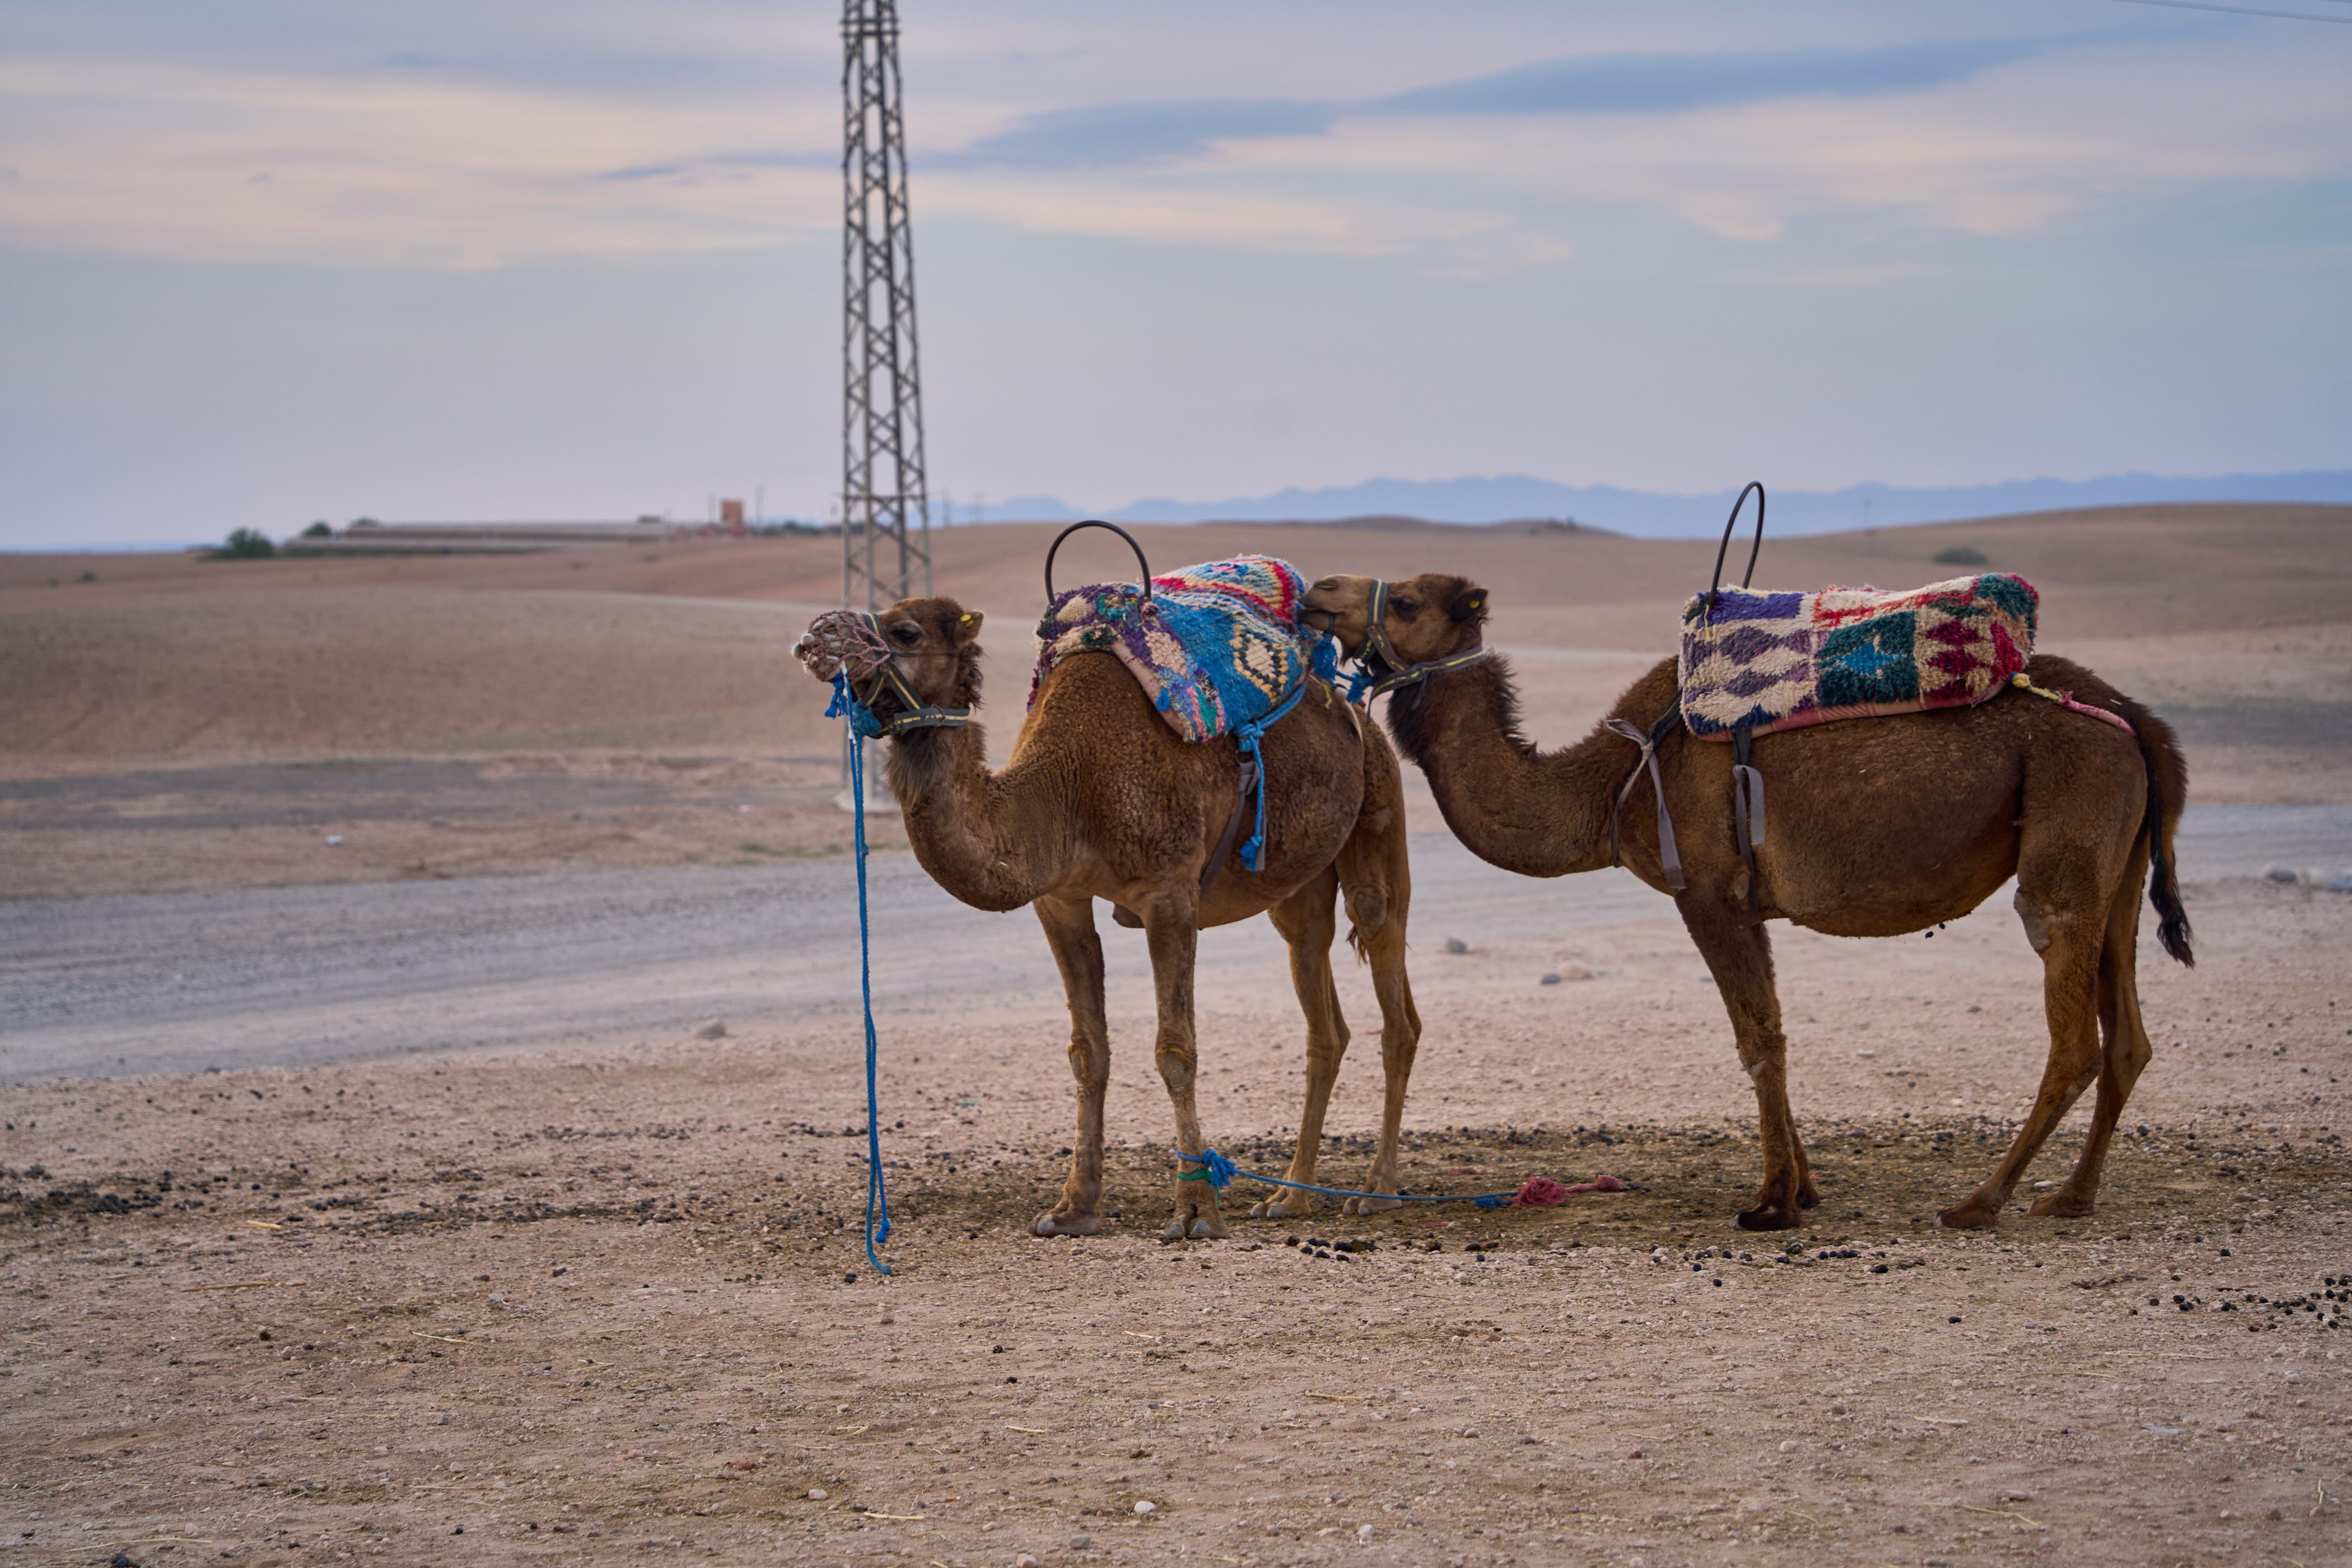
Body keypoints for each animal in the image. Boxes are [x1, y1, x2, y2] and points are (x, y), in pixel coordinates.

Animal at [795, 595, 1422, 1241]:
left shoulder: (1170, 895)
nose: (815, 638)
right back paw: (1292, 1196)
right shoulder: (1060, 900)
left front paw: (1195, 1209)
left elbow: (1176, 1052)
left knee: (1392, 987)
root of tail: (1353, 712)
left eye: (905, 631)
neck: (1069, 787)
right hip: (1297, 885)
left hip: (1381, 807)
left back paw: (1377, 1190)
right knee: (1323, 1011)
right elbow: (1087, 1051)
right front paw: (1074, 1206)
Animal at [1301, 572, 2192, 1232]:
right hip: (2120, 865)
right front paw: (1804, 1189)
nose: (1317, 591)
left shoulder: (1708, 890)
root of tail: (2139, 722)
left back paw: (1981, 1200)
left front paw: (1769, 1204)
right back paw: (2071, 1196)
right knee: (2128, 1035)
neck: (1611, 783)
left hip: (2068, 831)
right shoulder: (1750, 904)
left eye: (1405, 600)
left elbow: (1755, 1037)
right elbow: (1775, 1031)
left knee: (2073, 1027)